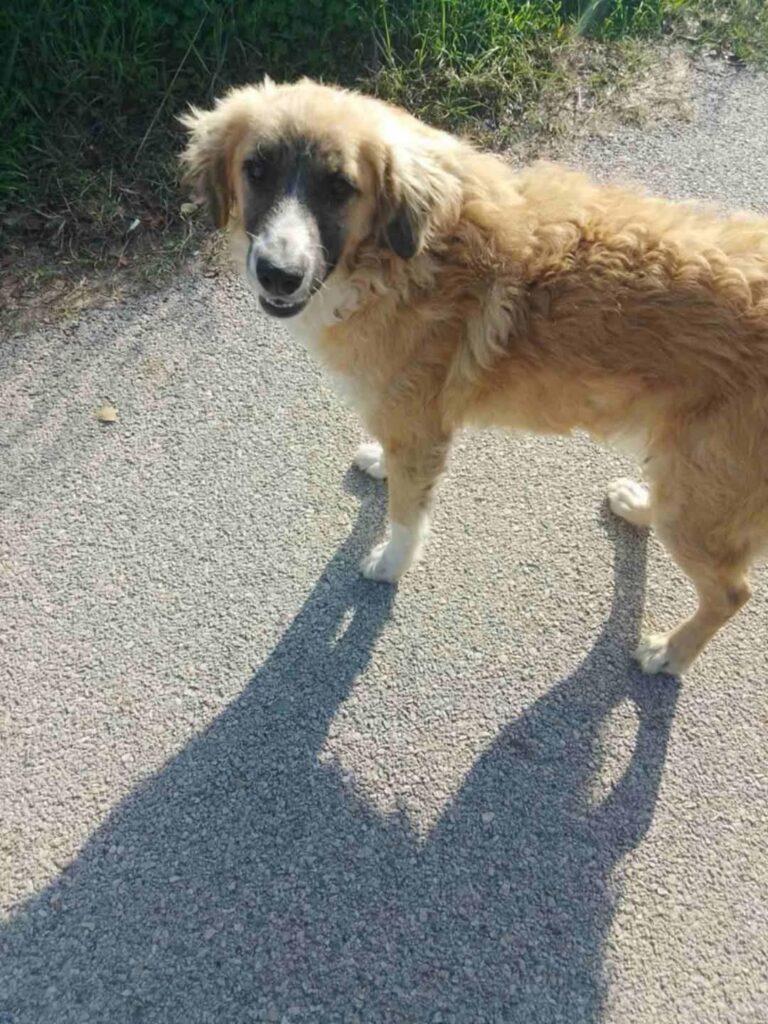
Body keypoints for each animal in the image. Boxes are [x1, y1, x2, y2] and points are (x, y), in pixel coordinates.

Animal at [181, 78, 768, 675]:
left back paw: (671, 652)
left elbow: (406, 514)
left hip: (705, 492)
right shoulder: (403, 420)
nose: (279, 273)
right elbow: (392, 463)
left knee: (731, 593)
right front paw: (379, 461)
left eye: (340, 186)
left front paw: (391, 563)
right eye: (256, 169)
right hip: (690, 475)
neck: (402, 258)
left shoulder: (421, 430)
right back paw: (638, 505)